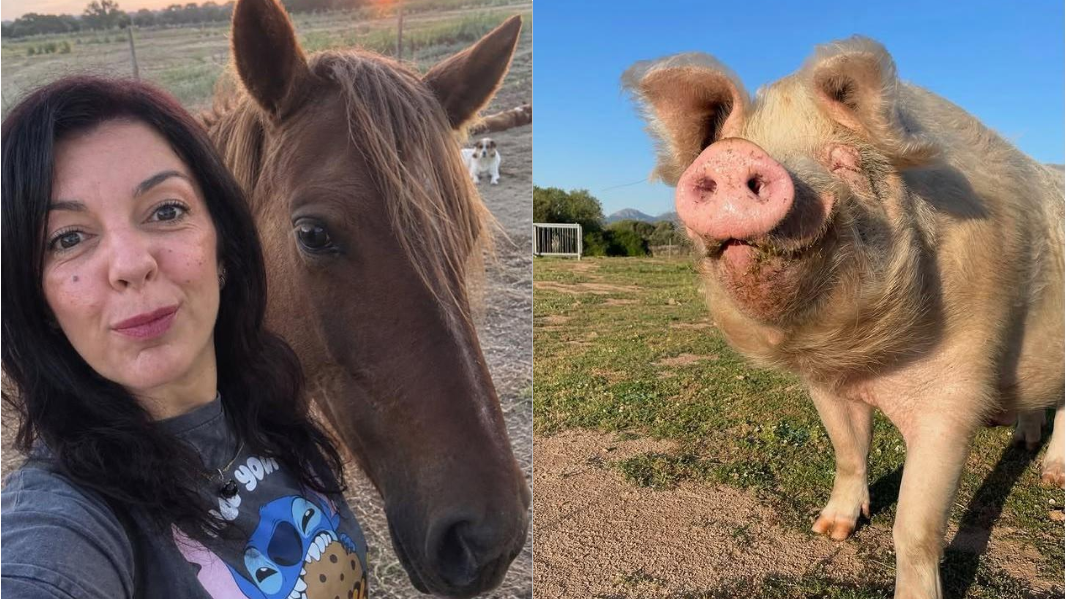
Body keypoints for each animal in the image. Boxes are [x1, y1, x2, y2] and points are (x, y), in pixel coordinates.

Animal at [623, 36, 1064, 598]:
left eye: (844, 161)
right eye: (738, 145)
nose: (731, 156)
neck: (862, 363)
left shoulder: (955, 394)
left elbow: (915, 526)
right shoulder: (825, 385)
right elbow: (848, 450)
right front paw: (829, 530)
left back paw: (1052, 477)